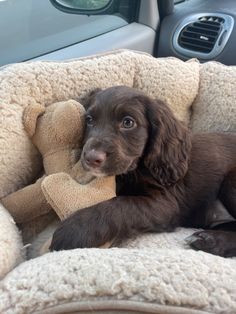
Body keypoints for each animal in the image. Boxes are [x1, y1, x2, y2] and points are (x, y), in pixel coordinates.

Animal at [49, 86, 236, 258]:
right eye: (89, 120)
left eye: (128, 122)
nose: (91, 158)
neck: (137, 169)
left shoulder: (164, 203)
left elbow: (122, 205)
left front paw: (74, 229)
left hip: (231, 181)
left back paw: (210, 241)